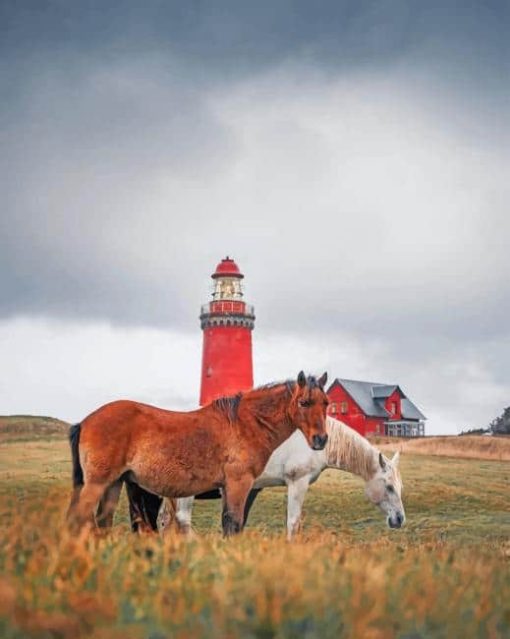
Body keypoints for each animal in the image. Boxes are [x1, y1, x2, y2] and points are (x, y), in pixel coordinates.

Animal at [65, 372, 328, 536]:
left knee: (103, 522)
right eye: (304, 402)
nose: (321, 439)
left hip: (114, 483)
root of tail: (85, 421)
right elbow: (233, 523)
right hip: (97, 483)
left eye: (325, 403)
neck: (244, 424)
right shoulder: (239, 484)